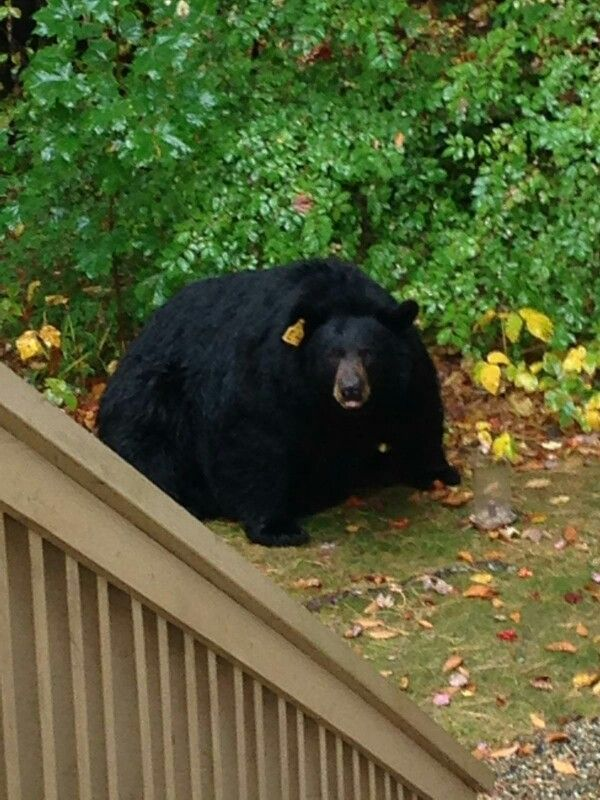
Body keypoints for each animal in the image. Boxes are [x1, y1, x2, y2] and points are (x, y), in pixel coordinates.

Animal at [98, 258, 459, 546]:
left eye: (368, 353)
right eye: (332, 354)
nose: (351, 390)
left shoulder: (403, 373)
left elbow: (418, 412)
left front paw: (439, 471)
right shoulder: (268, 372)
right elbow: (252, 439)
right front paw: (278, 528)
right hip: (153, 397)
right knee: (147, 446)